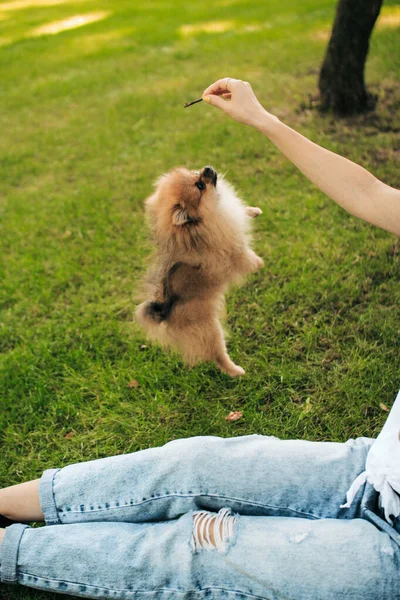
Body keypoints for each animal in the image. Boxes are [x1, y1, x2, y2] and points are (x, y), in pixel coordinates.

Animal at [136, 164, 264, 378]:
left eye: (193, 172)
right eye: (200, 185)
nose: (208, 168)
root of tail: (165, 312)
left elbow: (242, 211)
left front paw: (254, 211)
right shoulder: (232, 251)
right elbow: (245, 256)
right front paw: (259, 263)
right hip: (210, 330)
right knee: (218, 356)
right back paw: (236, 371)